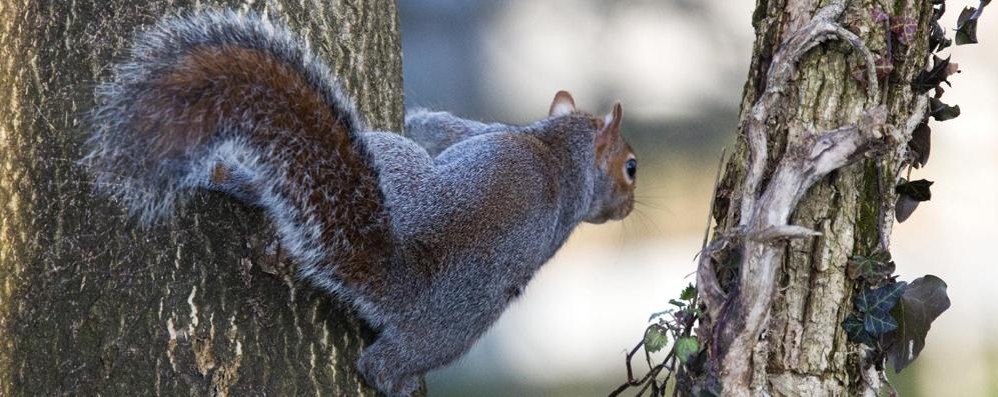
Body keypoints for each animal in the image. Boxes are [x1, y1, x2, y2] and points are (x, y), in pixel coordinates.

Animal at [82, 10, 636, 396]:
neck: (557, 146)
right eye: (631, 167)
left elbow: (439, 126)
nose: (630, 207)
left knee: (378, 364)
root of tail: (401, 270)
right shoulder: (484, 133)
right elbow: (437, 123)